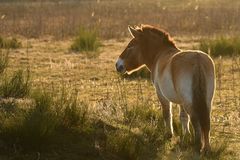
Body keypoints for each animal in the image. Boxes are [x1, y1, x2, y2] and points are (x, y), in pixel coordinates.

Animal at [115, 24, 216, 153]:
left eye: (130, 46)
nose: (118, 65)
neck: (160, 54)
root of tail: (197, 60)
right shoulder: (181, 101)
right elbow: (183, 117)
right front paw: (185, 136)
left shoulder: (161, 95)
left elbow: (167, 113)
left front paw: (169, 134)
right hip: (206, 101)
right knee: (206, 122)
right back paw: (206, 148)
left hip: (190, 102)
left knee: (196, 121)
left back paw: (197, 146)